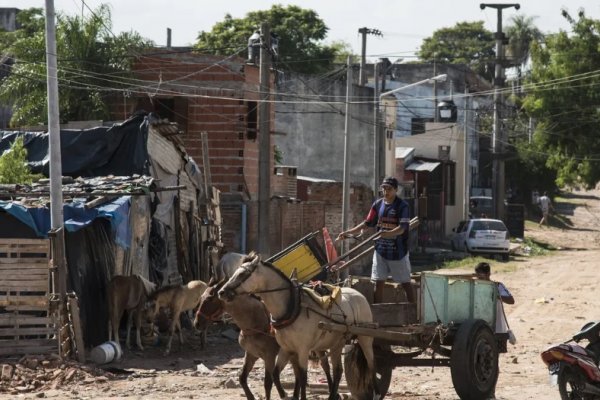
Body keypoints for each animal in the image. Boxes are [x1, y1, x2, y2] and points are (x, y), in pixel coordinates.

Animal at [219, 253, 380, 400]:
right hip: (337, 343)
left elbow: (302, 377)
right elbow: (276, 374)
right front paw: (285, 394)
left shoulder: (302, 349)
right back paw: (332, 395)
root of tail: (358, 294)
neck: (292, 308)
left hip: (365, 338)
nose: (222, 292)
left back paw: (377, 394)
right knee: (337, 370)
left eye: (243, 274)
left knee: (371, 363)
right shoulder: (286, 349)